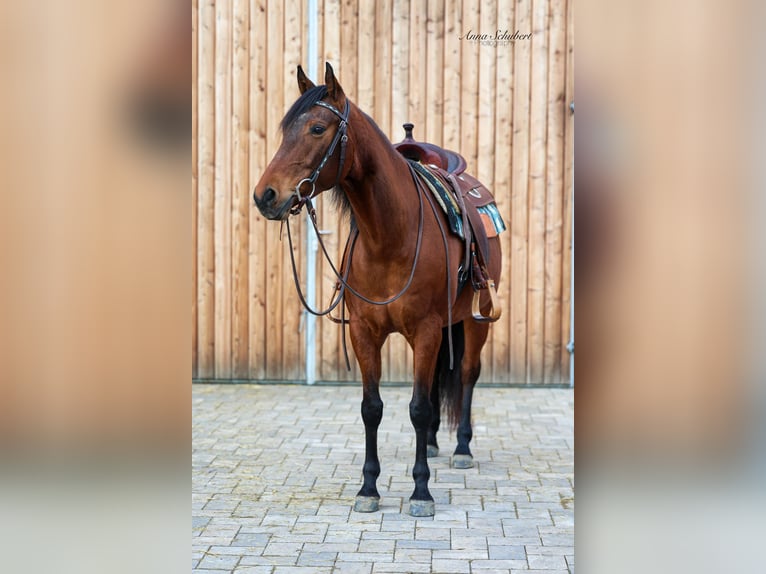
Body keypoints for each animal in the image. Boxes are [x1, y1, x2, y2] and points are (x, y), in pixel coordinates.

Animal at [253, 63, 502, 517]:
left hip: (476, 320)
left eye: (317, 128)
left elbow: (418, 407)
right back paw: (435, 445)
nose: (266, 196)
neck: (390, 235)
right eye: (284, 131)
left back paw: (461, 448)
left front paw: (421, 491)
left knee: (467, 374)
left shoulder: (425, 330)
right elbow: (373, 409)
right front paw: (368, 488)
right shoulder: (365, 332)